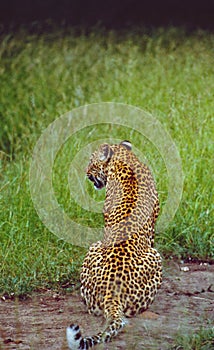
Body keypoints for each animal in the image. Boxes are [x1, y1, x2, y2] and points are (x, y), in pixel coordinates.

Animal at [67, 141, 162, 348]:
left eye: (91, 162)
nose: (86, 172)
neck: (124, 160)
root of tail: (113, 291)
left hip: (94, 249)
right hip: (155, 256)